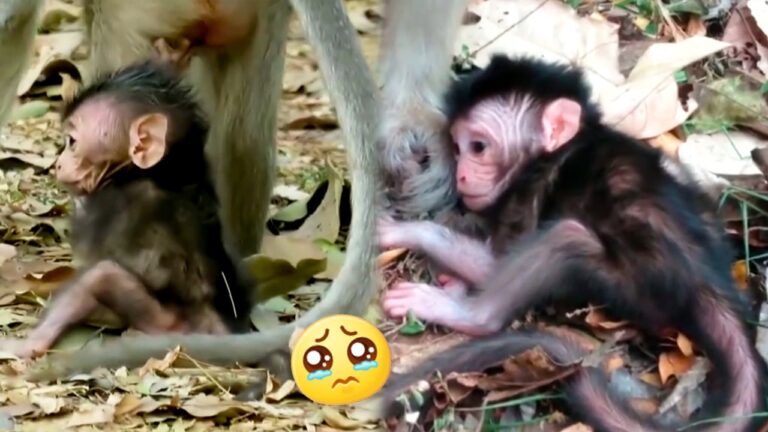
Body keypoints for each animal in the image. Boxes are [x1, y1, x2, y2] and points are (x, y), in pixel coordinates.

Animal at [0, 61, 255, 359]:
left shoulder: (108, 204)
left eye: (72, 142)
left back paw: (29, 344)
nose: (58, 164)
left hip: (168, 324)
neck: (163, 173)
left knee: (100, 277)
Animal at [377, 55, 766, 432]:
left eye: (478, 147)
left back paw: (466, 312)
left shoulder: (530, 188)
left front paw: (406, 231)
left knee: (566, 239)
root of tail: (710, 279)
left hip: (637, 285)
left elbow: (492, 264)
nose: (460, 175)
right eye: (457, 149)